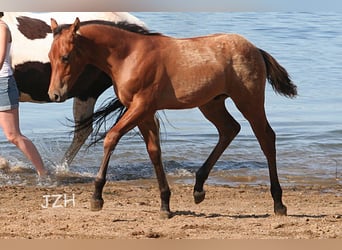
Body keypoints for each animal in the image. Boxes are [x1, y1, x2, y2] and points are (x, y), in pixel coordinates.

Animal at [47, 17, 296, 218]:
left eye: (66, 57)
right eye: (50, 56)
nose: (54, 94)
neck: (129, 56)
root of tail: (255, 49)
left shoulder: (141, 106)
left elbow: (111, 137)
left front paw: (97, 196)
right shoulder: (144, 113)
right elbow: (154, 152)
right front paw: (165, 205)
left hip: (249, 101)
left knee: (266, 138)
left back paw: (278, 203)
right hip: (211, 104)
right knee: (230, 129)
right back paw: (198, 188)